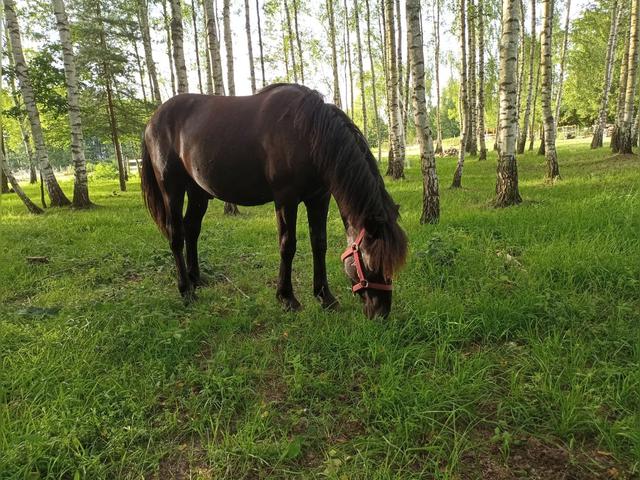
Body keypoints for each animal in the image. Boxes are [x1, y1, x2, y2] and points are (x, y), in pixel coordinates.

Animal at [140, 84, 407, 319]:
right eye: (372, 264)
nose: (381, 313)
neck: (307, 132)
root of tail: (153, 120)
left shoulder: (319, 198)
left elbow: (319, 244)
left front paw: (325, 297)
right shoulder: (286, 199)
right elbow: (288, 246)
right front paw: (287, 298)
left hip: (197, 192)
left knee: (192, 229)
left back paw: (196, 279)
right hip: (172, 190)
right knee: (176, 235)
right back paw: (186, 291)